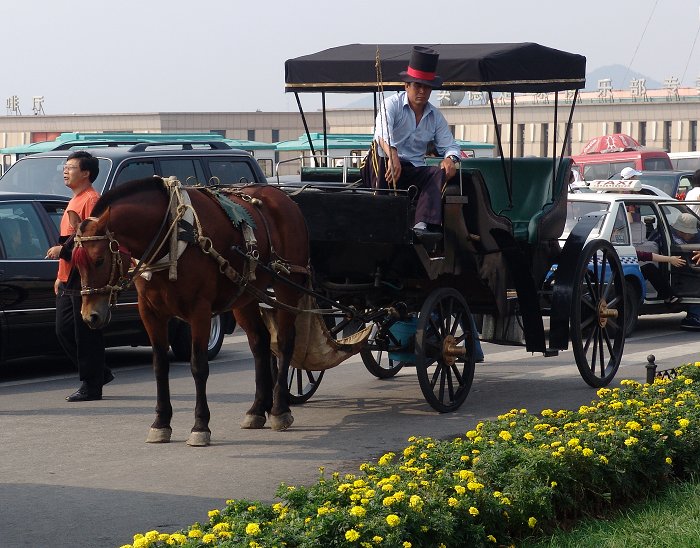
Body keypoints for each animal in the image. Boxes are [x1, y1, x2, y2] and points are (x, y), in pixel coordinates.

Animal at [72, 177, 310, 446]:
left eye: (99, 260)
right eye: (76, 263)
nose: (90, 315)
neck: (171, 234)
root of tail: (283, 197)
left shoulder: (200, 311)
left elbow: (199, 366)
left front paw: (200, 425)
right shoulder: (150, 312)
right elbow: (159, 366)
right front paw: (161, 422)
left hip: (287, 285)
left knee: (285, 342)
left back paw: (280, 409)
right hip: (246, 294)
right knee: (260, 344)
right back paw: (258, 409)